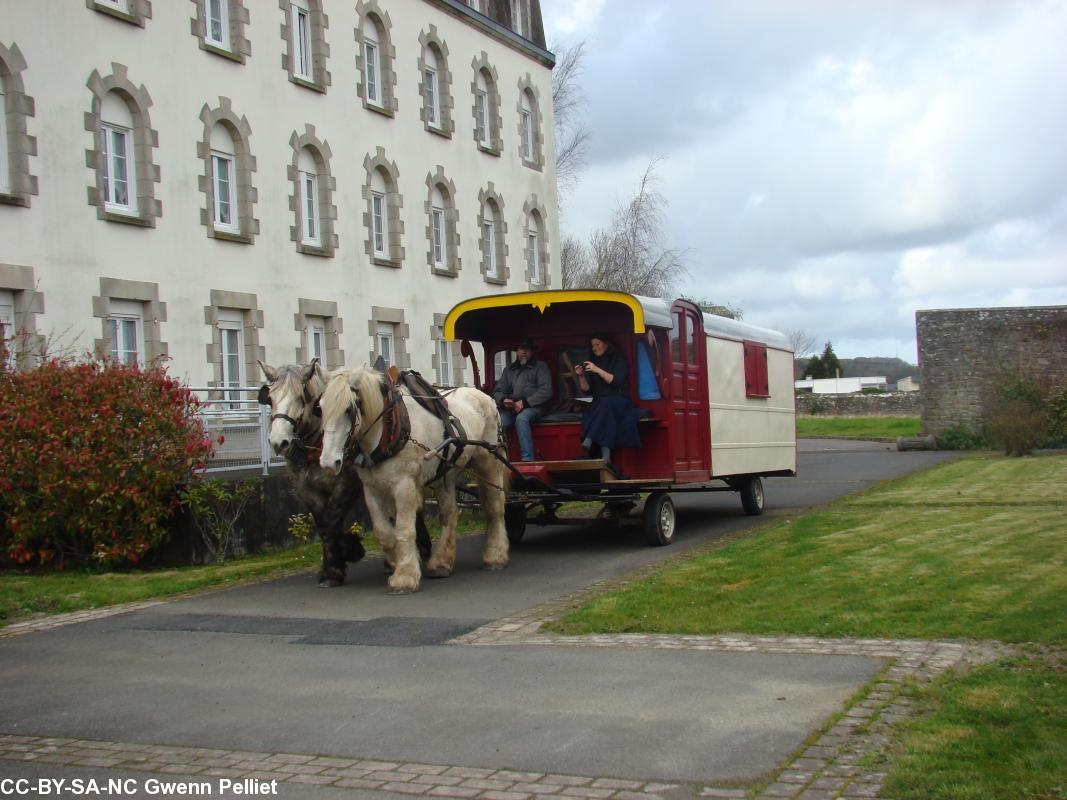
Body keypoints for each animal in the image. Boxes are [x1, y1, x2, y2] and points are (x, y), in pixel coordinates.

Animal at [315, 366, 507, 593]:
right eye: (320, 408)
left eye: (348, 410)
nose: (328, 462)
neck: (386, 429)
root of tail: (484, 396)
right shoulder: (372, 489)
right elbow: (383, 531)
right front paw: (398, 561)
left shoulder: (403, 485)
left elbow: (404, 529)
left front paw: (405, 576)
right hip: (446, 471)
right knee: (449, 513)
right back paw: (441, 563)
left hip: (489, 461)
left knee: (495, 507)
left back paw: (495, 556)